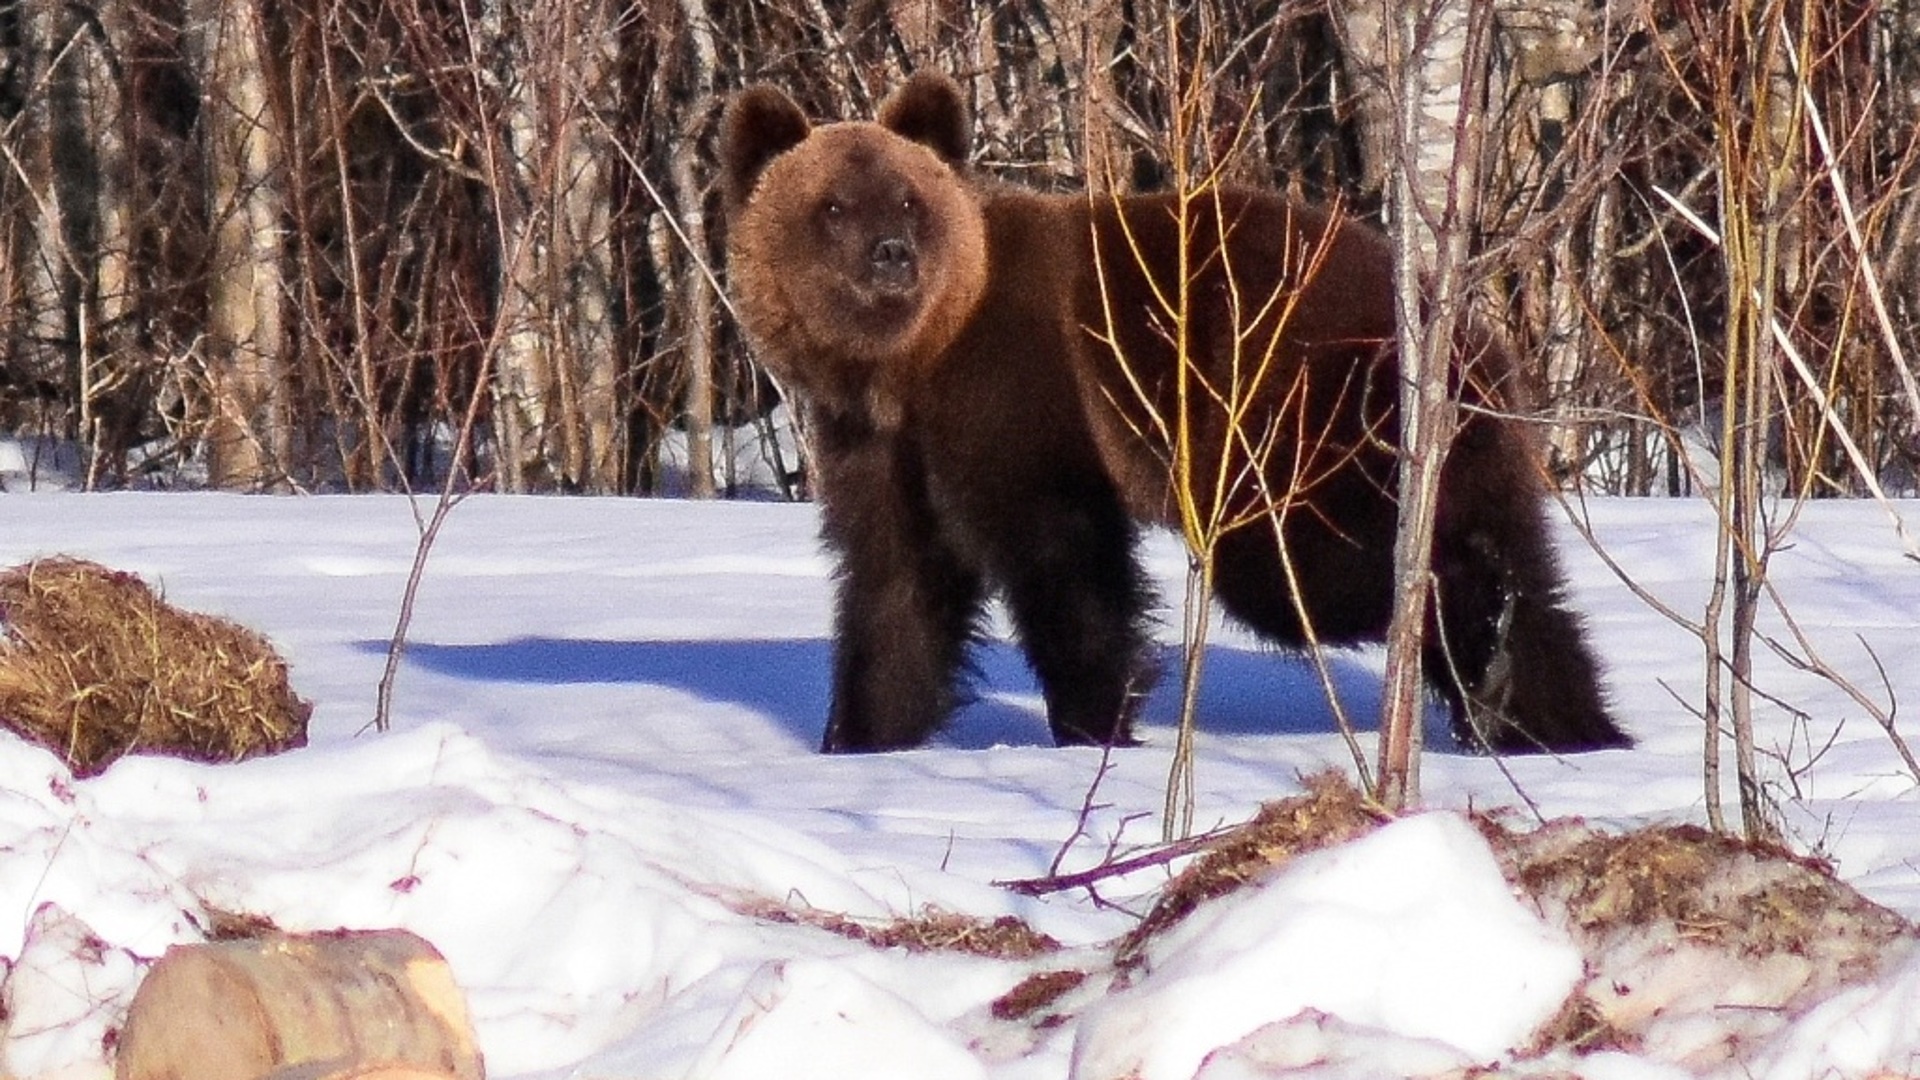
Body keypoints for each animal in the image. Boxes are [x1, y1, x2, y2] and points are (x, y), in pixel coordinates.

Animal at [725, 71, 1628, 753]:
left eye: (909, 199)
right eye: (832, 206)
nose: (892, 257)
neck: (909, 364)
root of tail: (1469, 328)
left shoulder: (1020, 387)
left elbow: (1066, 558)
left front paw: (1093, 721)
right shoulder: (876, 447)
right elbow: (895, 588)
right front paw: (863, 736)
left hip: (1309, 418)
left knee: (1318, 575)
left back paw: (1473, 624)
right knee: (1531, 583)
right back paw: (1557, 719)